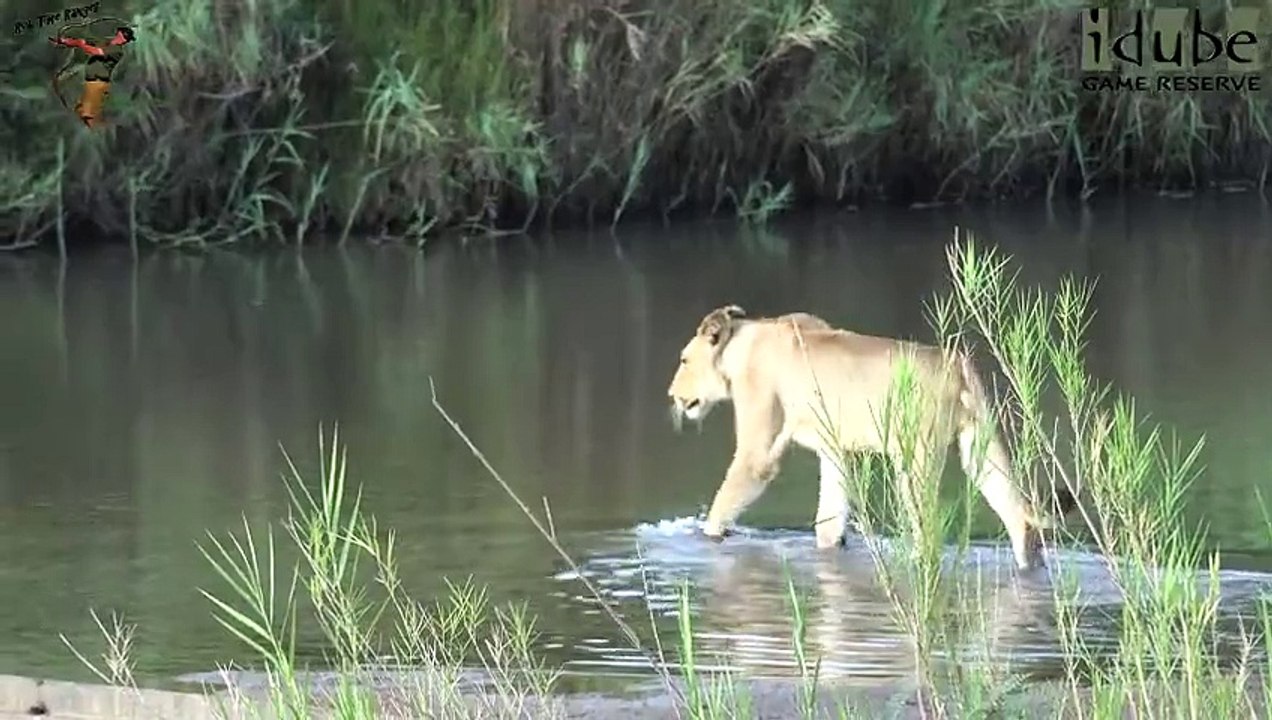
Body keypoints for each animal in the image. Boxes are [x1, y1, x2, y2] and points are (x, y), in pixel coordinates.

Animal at [666, 304, 1075, 571]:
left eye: (684, 360)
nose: (672, 395)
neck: (742, 344)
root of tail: (957, 364)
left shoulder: (759, 449)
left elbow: (727, 500)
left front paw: (704, 537)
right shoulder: (834, 451)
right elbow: (830, 520)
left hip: (914, 457)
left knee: (929, 533)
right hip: (978, 447)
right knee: (1018, 515)